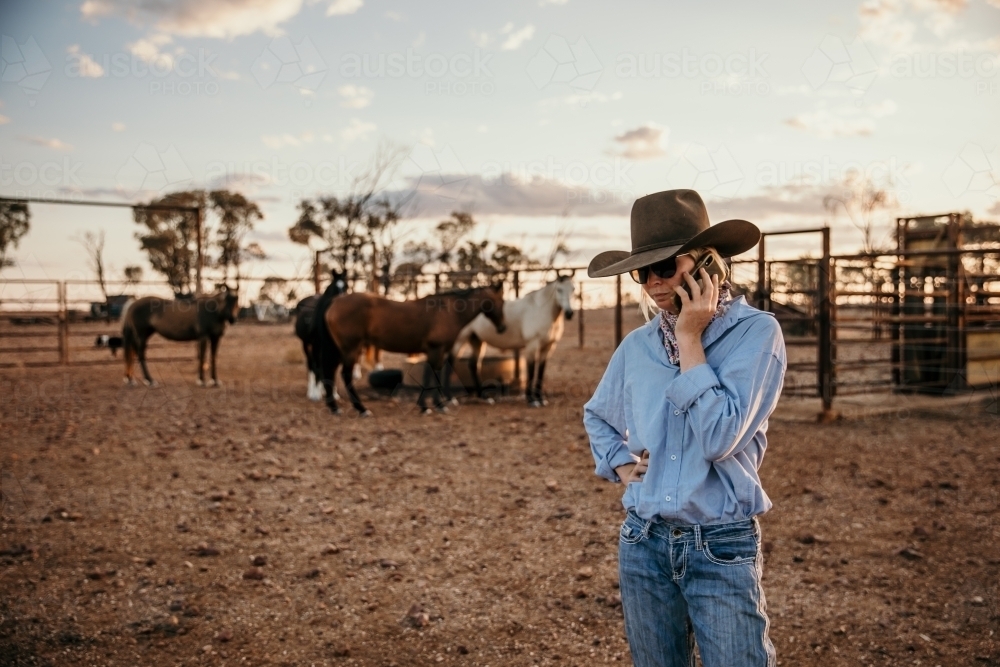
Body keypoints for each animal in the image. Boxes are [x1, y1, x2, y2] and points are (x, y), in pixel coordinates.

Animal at [322, 284, 504, 418]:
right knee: (345, 375)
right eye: (501, 301)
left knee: (330, 373)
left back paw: (334, 408)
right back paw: (361, 409)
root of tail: (335, 303)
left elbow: (430, 376)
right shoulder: (436, 349)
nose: (502, 327)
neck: (449, 311)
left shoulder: (435, 351)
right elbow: (434, 376)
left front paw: (427, 406)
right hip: (351, 349)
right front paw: (437, 405)